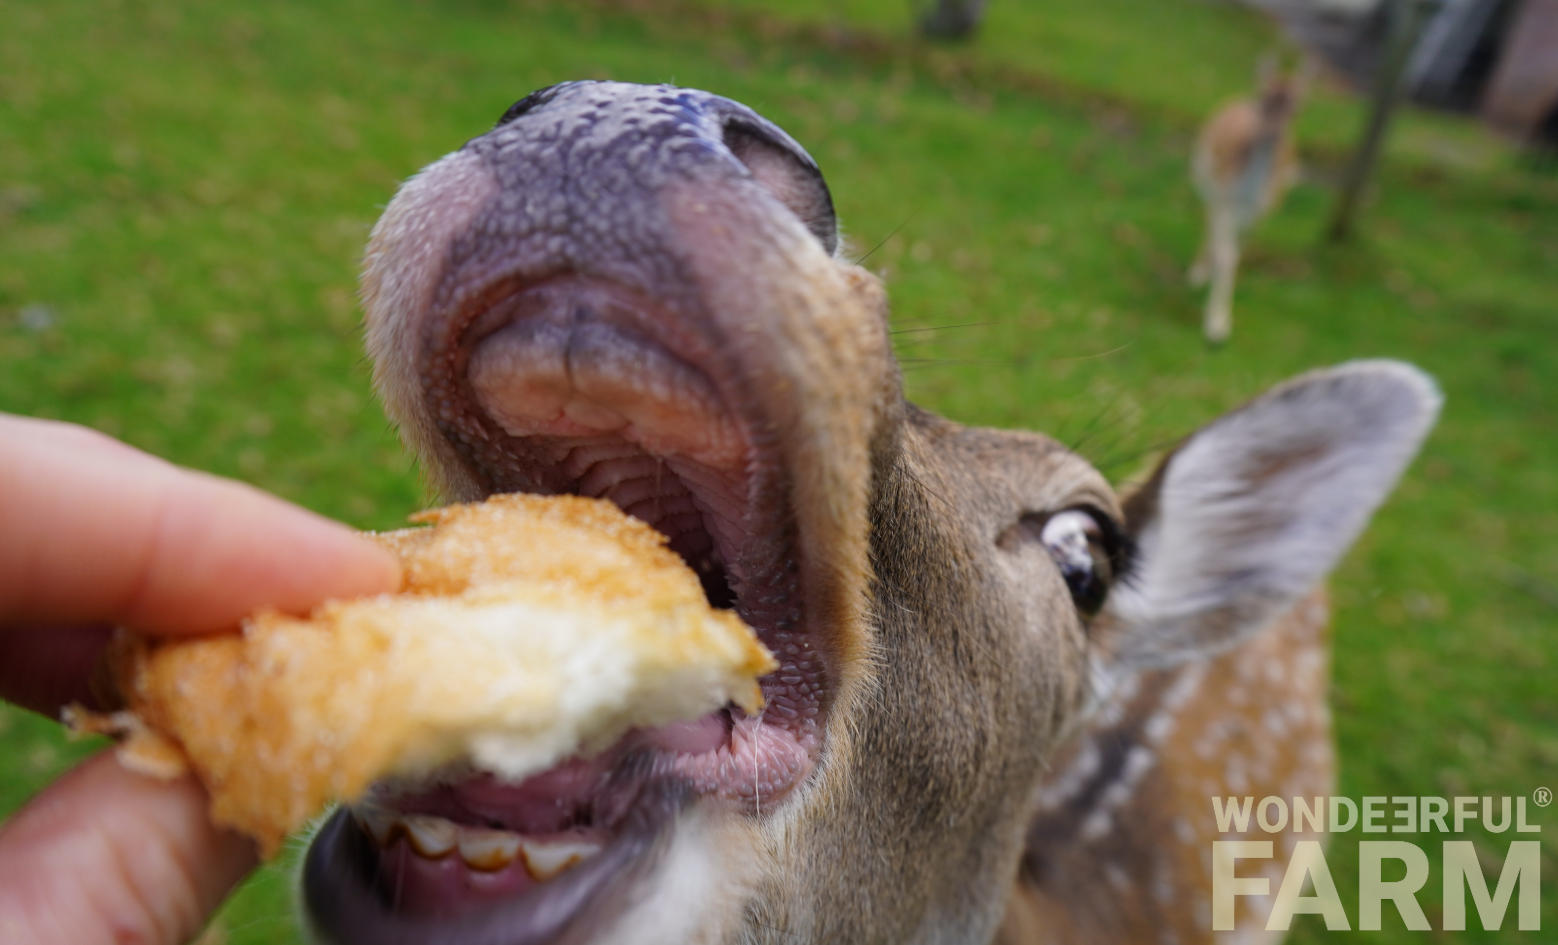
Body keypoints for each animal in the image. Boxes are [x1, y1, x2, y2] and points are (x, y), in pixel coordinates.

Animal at [1190, 59, 1307, 344]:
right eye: (1263, 98)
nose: (1274, 135)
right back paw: (1198, 273)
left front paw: (1218, 323)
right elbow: (1227, 254)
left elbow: (1237, 251)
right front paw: (1216, 327)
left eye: (1297, 107)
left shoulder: (1261, 211)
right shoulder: (1222, 198)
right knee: (1207, 222)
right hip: (1204, 180)